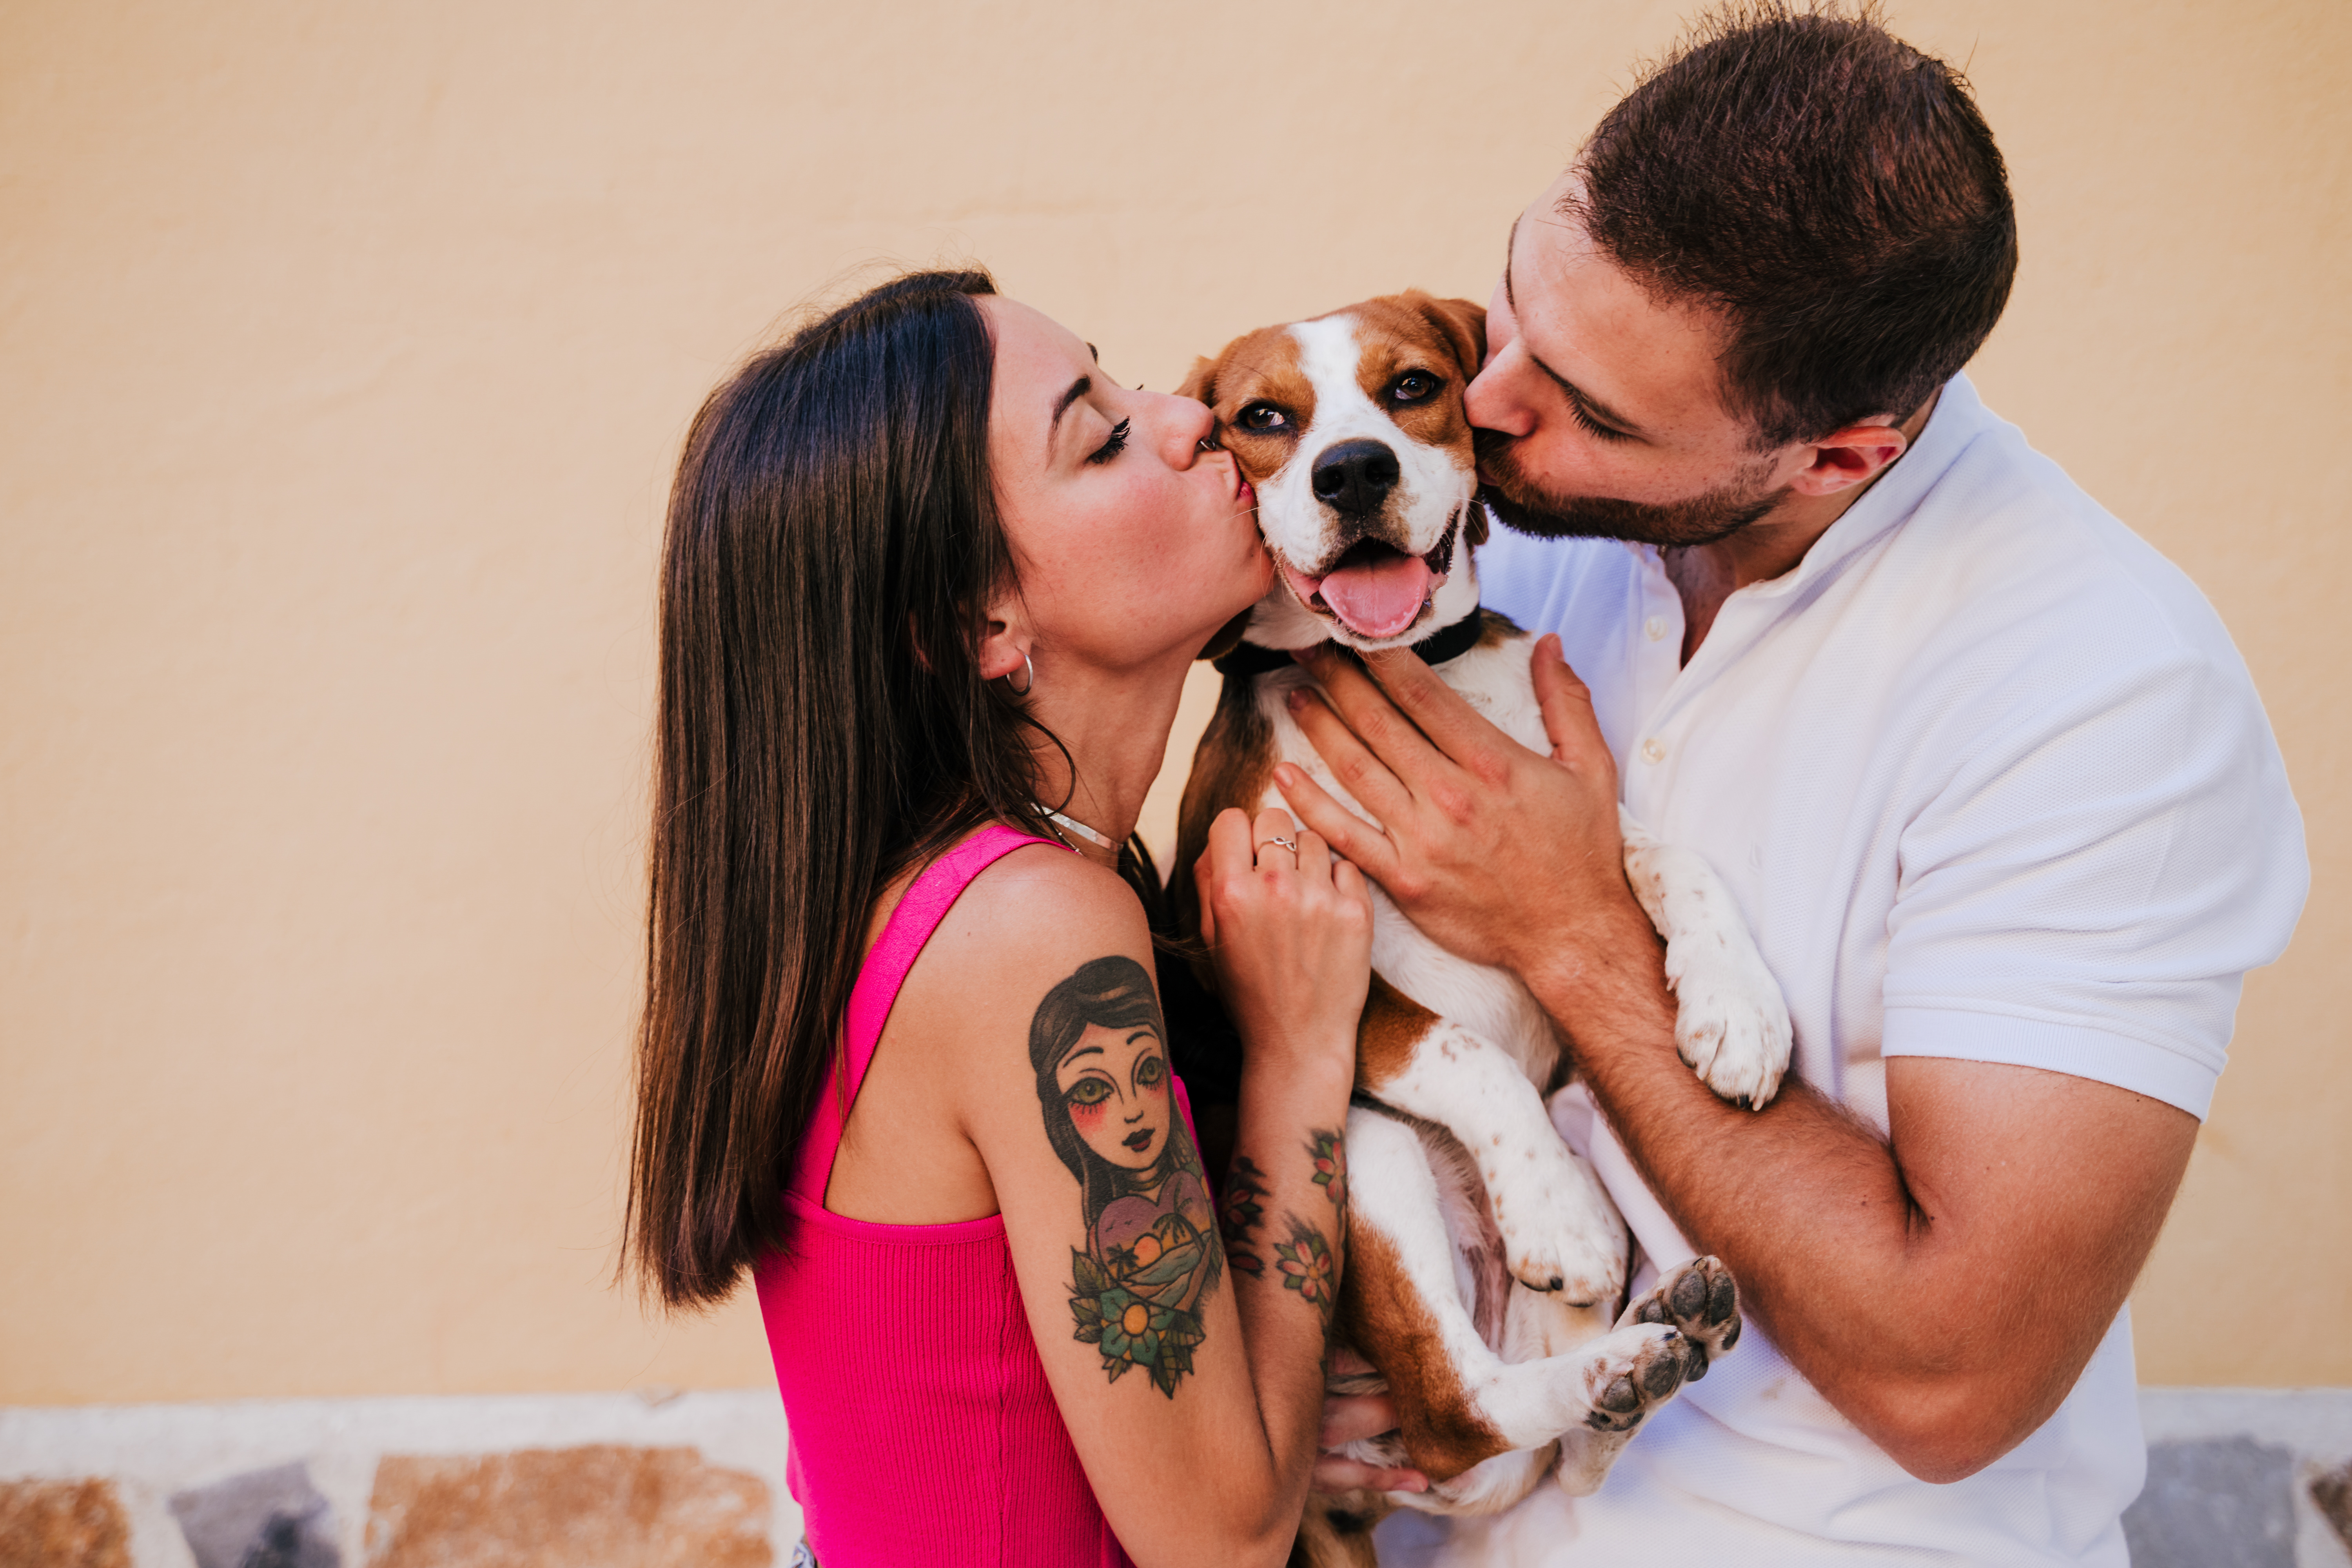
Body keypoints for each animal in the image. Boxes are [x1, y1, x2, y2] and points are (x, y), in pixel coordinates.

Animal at [1167, 294, 1788, 1568]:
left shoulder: (1573, 823)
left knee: (1533, 1458)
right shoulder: (1271, 944)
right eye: (1262, 419)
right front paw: (1551, 1205)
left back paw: (1649, 1358)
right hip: (1368, 1154)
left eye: (1409, 387)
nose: (1354, 469)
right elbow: (1455, 1046)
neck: (1400, 668)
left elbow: (1675, 864)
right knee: (1461, 1414)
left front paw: (1737, 1009)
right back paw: (1614, 1335)